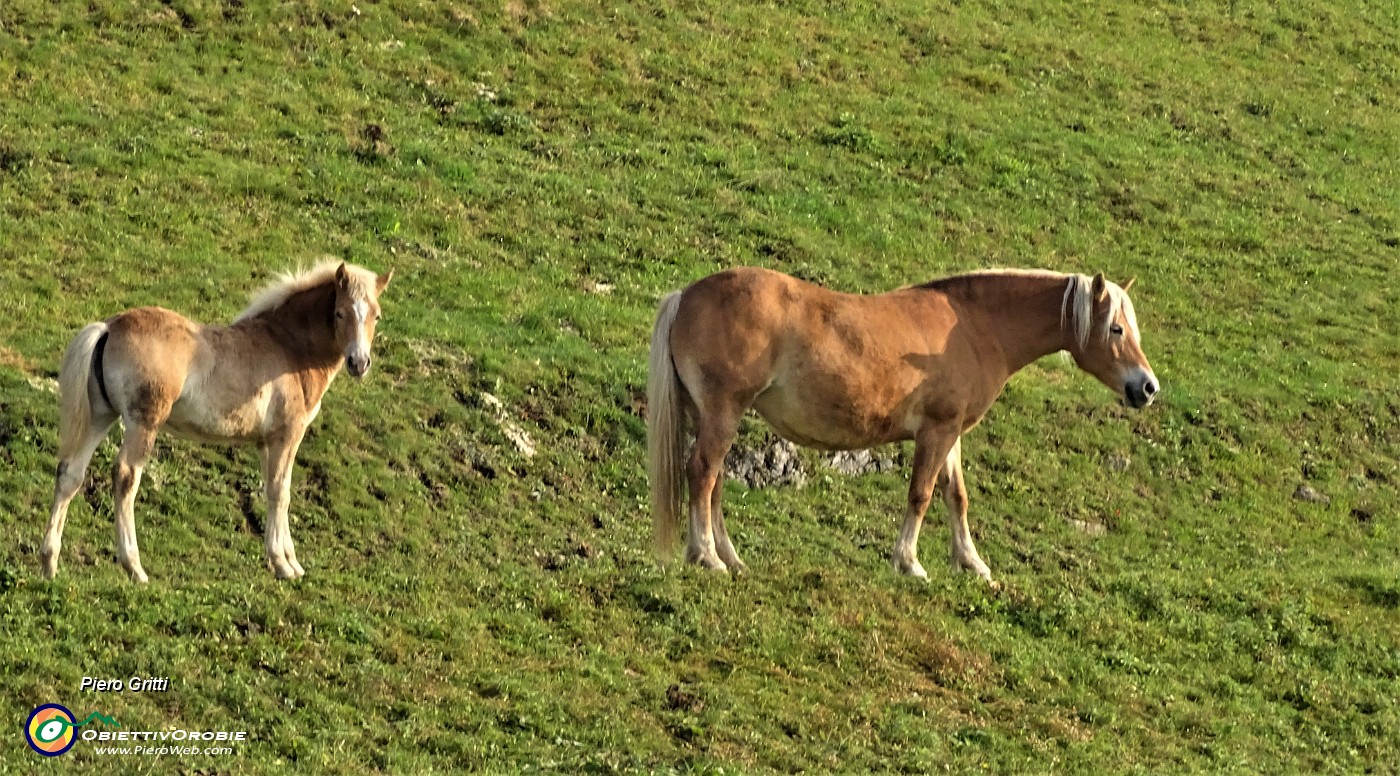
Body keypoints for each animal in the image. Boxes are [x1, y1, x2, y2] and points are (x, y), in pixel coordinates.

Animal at [40, 261, 392, 579]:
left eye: (376, 315)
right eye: (340, 313)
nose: (359, 363)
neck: (289, 348)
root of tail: (110, 325)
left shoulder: (265, 442)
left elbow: (272, 490)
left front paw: (287, 559)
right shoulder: (288, 434)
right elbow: (281, 491)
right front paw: (284, 566)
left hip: (101, 415)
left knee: (70, 473)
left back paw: (49, 563)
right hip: (144, 423)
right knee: (126, 476)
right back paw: (135, 568)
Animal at [649, 264, 1153, 579]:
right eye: (1115, 328)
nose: (1147, 388)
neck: (974, 327)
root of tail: (686, 295)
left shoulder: (951, 434)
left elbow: (956, 497)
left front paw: (971, 563)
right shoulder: (937, 430)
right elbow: (922, 494)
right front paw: (909, 562)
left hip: (713, 416)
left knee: (713, 483)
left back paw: (729, 558)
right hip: (723, 413)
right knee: (703, 474)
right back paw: (707, 557)